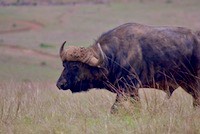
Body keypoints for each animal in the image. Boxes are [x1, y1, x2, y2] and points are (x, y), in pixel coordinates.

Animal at [56, 23, 200, 113]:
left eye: (75, 66)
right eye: (64, 65)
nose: (60, 84)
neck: (113, 57)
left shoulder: (128, 88)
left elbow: (115, 109)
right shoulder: (128, 90)